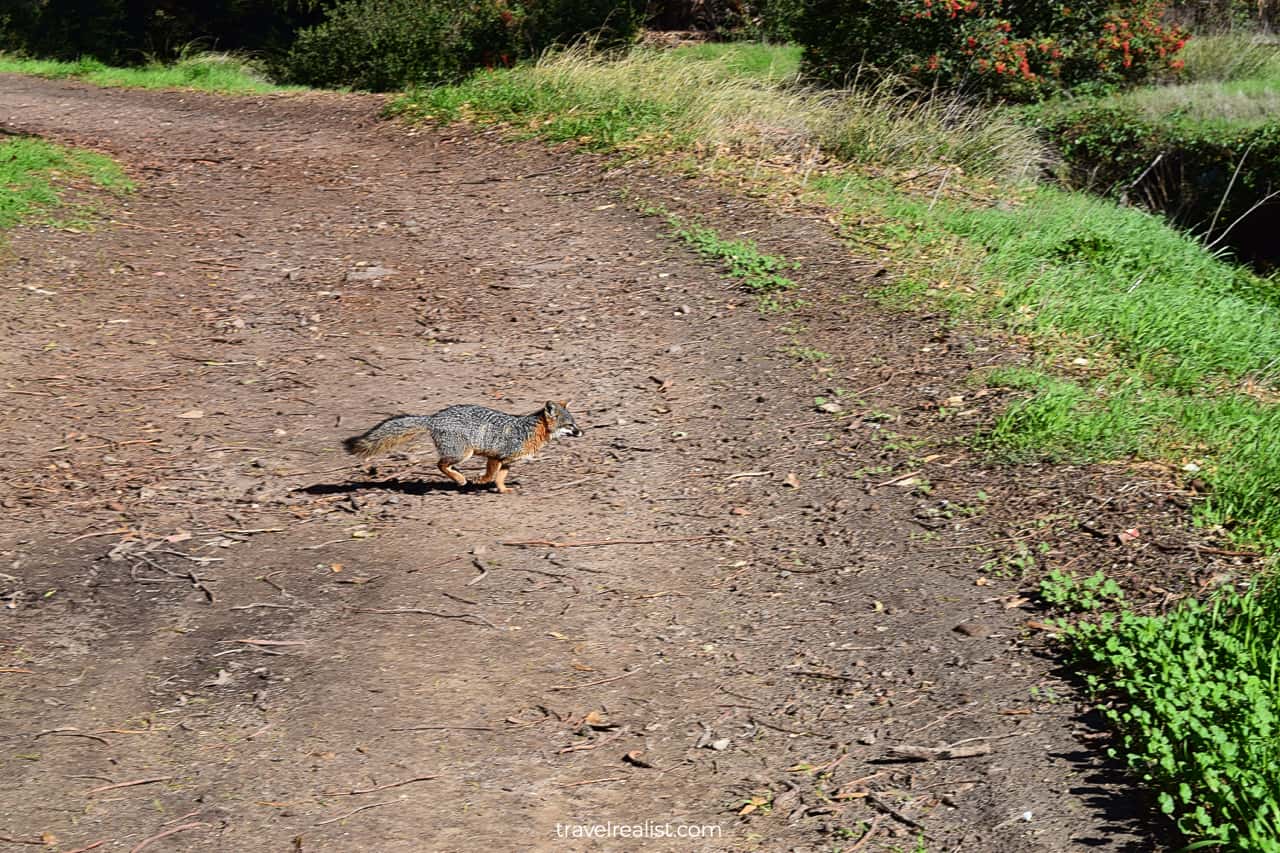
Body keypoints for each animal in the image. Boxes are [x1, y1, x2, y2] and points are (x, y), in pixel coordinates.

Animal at [340, 399, 581, 491]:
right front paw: (480, 480)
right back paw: (461, 479)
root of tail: (434, 418)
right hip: (464, 453)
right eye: (570, 425)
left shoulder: (507, 461)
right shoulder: (495, 456)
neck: (530, 431)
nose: (582, 432)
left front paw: (504, 490)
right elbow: (490, 475)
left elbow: (500, 478)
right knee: (440, 464)